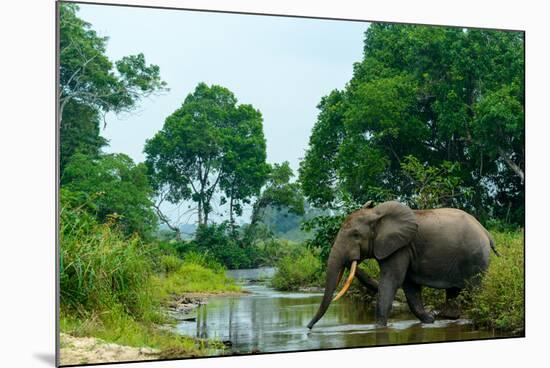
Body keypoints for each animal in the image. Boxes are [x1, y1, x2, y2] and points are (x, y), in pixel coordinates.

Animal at [306, 200, 500, 330]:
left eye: (355, 235)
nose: (308, 328)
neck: (377, 214)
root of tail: (486, 232)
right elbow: (410, 286)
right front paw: (430, 320)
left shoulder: (400, 246)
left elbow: (392, 280)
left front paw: (378, 328)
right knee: (453, 291)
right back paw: (449, 318)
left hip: (475, 256)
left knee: (476, 288)